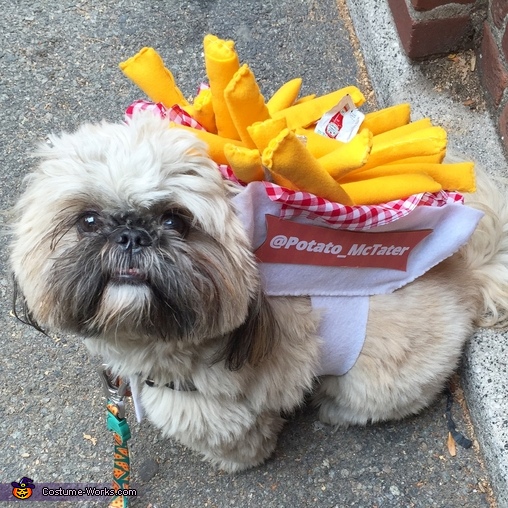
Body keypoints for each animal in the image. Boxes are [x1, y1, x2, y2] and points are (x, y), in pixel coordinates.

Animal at [9, 112, 508, 472]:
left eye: (175, 220)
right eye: (88, 220)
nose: (132, 235)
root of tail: (468, 274)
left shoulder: (219, 412)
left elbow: (242, 441)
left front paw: (239, 463)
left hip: (373, 379)